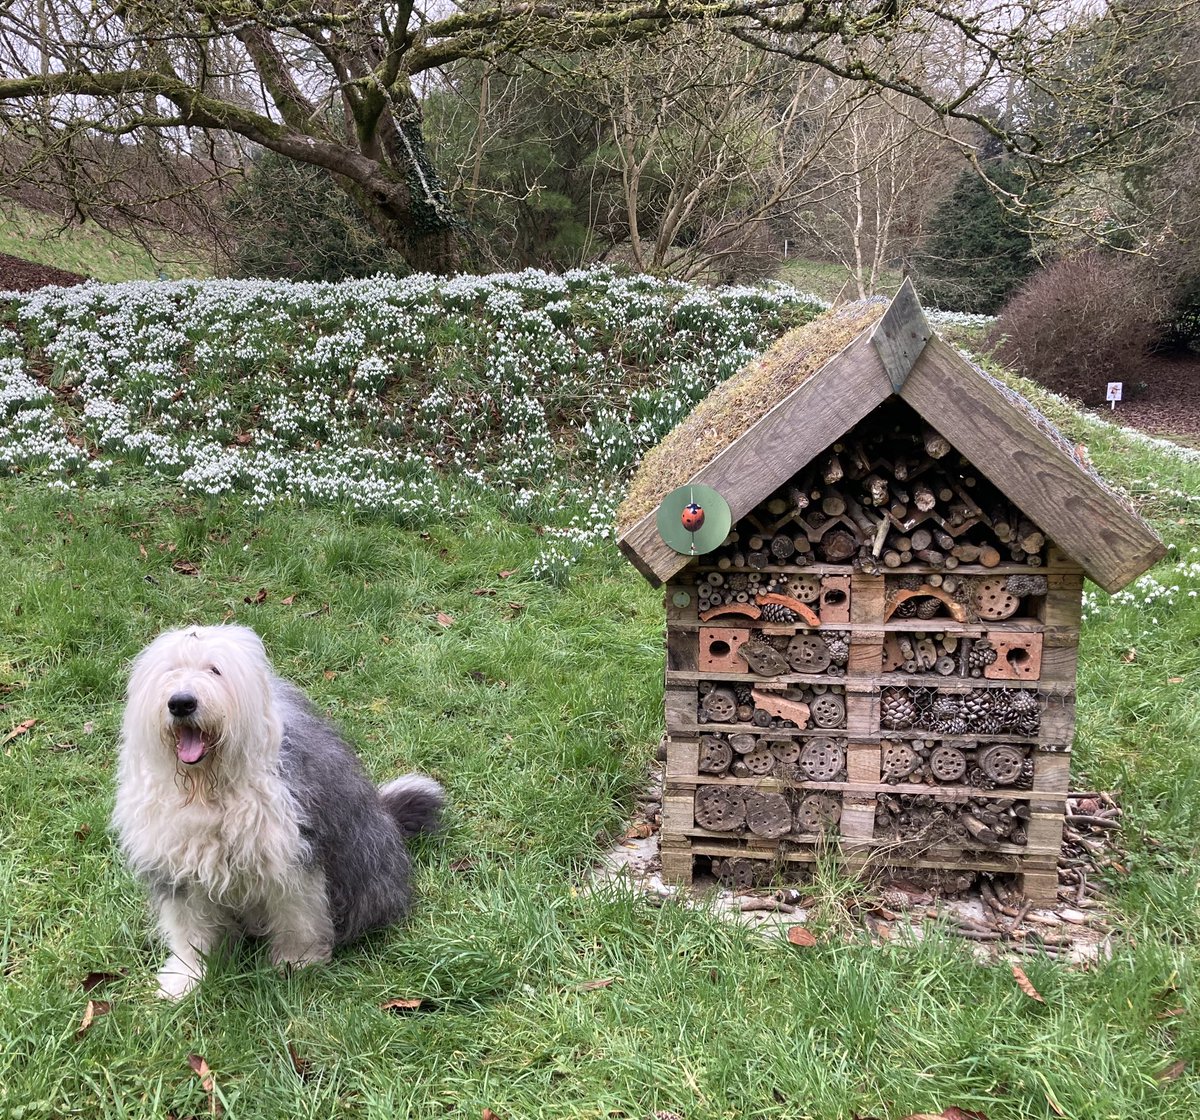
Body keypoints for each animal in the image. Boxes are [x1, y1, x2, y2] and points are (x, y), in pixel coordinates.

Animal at [110, 624, 441, 998]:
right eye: (170, 671)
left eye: (215, 670)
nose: (181, 702)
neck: (208, 786)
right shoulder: (178, 869)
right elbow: (189, 928)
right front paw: (186, 978)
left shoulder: (292, 858)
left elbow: (297, 915)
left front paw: (296, 963)